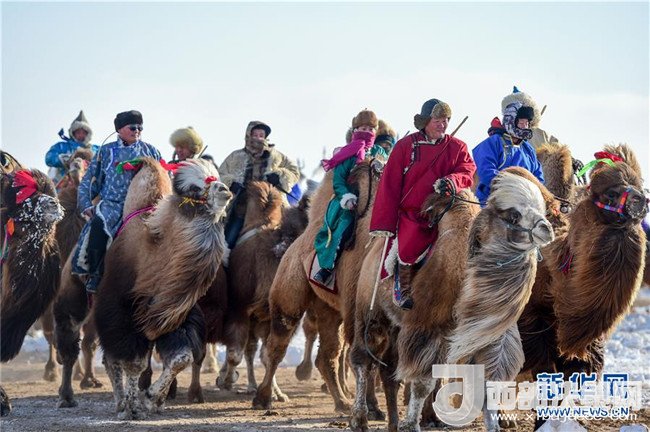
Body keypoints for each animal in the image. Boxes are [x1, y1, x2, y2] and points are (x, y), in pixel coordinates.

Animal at [91, 158, 231, 419]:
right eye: (195, 189)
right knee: (112, 359)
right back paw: (120, 403)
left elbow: (181, 358)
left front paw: (151, 399)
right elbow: (133, 362)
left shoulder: (175, 317)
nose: (224, 190)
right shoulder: (121, 313)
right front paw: (133, 407)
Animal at [253, 158, 385, 414]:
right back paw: (263, 398)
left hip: (327, 307)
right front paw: (372, 408)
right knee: (277, 344)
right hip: (289, 292)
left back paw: (342, 402)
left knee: (327, 355)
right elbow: (367, 357)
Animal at [518, 144, 647, 430]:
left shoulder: (584, 343)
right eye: (611, 192)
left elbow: (572, 374)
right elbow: (545, 372)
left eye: (639, 185)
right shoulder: (532, 323)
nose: (642, 202)